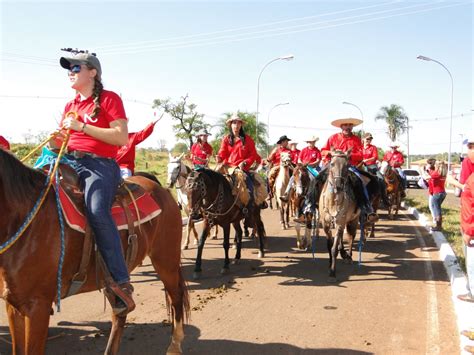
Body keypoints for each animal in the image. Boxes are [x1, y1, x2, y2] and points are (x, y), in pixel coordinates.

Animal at [0, 149, 189, 355]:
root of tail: (161, 190)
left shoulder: (38, 307)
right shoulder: (13, 305)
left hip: (166, 261)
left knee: (176, 296)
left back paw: (175, 345)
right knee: (120, 313)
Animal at [320, 152, 362, 282]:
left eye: (347, 165)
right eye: (332, 163)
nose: (338, 186)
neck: (333, 202)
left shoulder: (339, 222)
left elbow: (334, 248)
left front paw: (332, 271)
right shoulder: (325, 224)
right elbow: (329, 245)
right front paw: (330, 263)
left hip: (353, 219)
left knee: (350, 236)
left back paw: (349, 256)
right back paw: (343, 253)